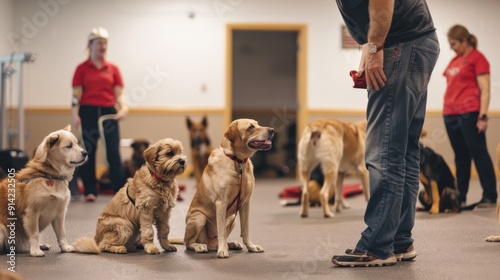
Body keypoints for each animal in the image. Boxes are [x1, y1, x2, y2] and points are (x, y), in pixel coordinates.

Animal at [0, 126, 88, 258]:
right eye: (69, 146)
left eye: (77, 144)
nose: (85, 153)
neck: (48, 175)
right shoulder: (31, 213)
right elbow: (35, 234)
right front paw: (35, 250)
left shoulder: (60, 213)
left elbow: (61, 233)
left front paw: (65, 247)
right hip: (2, 229)